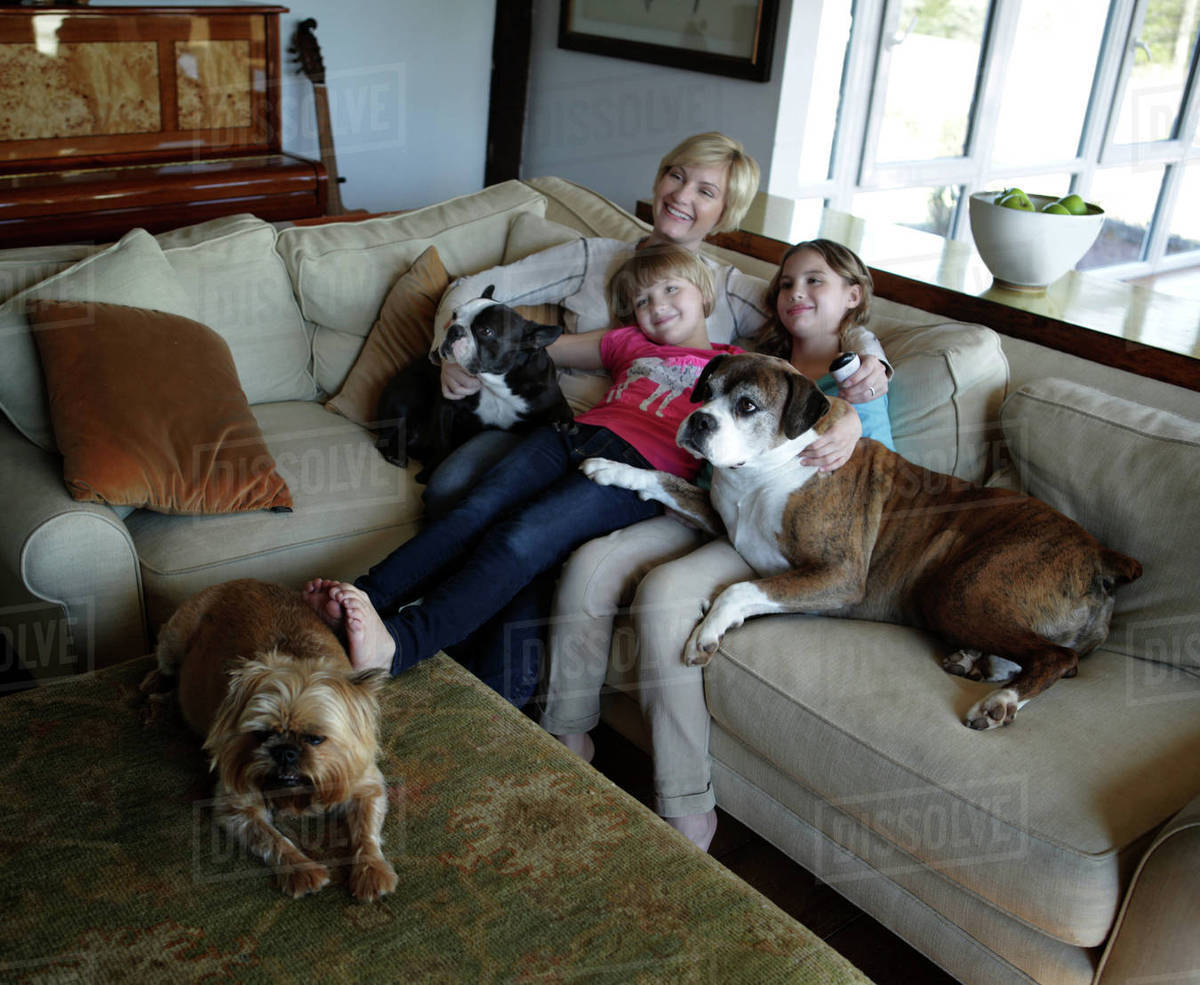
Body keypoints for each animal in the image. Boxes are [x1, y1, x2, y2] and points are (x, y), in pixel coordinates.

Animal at [150, 575, 398, 897]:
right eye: (261, 734)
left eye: (315, 739)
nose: (285, 752)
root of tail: (238, 580)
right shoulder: (235, 806)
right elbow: (272, 839)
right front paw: (303, 871)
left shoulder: (366, 784)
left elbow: (365, 831)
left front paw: (372, 871)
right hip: (174, 640)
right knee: (163, 667)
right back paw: (155, 695)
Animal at [580, 352, 1142, 729]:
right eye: (707, 389)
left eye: (747, 405)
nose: (699, 420)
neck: (764, 471)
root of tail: (1099, 554)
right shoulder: (721, 520)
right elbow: (662, 479)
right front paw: (611, 468)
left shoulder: (838, 576)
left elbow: (739, 589)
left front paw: (708, 631)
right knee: (1037, 651)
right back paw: (974, 662)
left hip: (962, 588)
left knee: (1056, 658)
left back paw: (1000, 700)